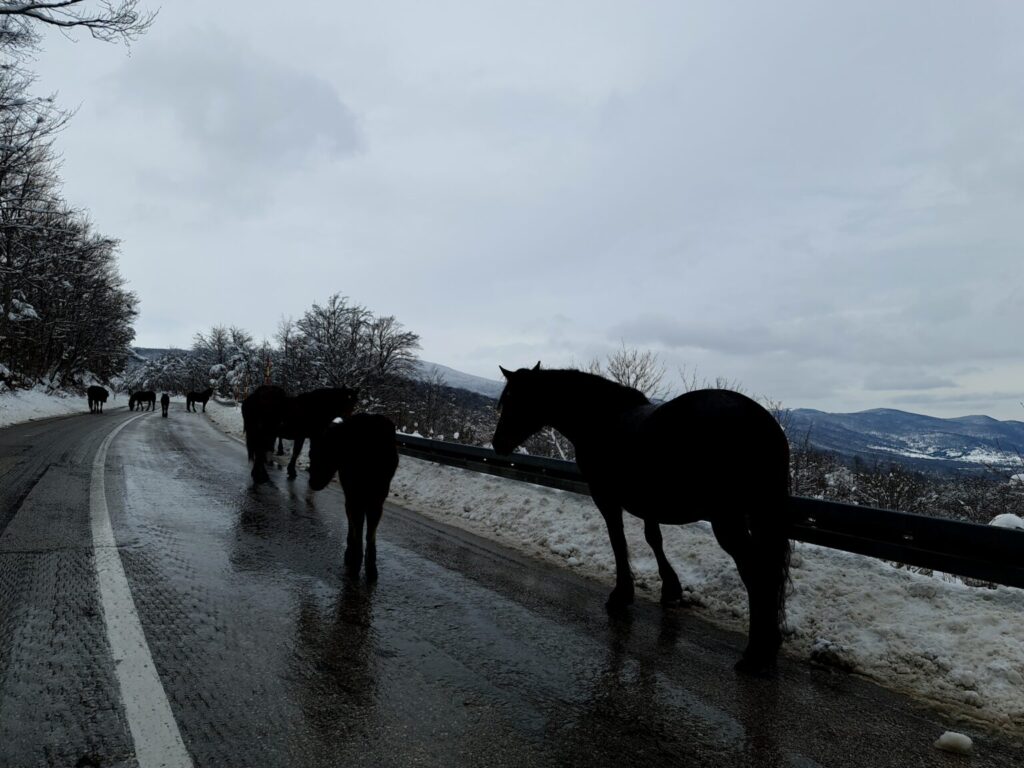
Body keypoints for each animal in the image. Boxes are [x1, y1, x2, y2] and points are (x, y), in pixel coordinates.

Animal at [305, 415, 397, 577]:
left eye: (316, 453)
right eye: (310, 453)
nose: (312, 482)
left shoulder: (374, 500)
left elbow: (367, 533)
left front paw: (368, 566)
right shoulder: (357, 497)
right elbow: (359, 530)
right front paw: (357, 562)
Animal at [489, 364, 790, 671]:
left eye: (514, 400)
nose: (497, 443)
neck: (600, 419)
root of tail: (762, 422)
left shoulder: (607, 499)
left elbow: (618, 541)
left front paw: (622, 593)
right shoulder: (648, 504)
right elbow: (653, 539)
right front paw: (670, 589)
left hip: (727, 519)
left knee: (758, 572)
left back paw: (756, 653)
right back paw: (770, 643)